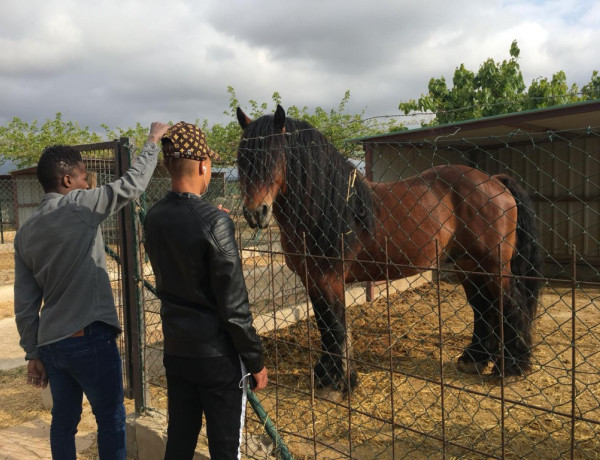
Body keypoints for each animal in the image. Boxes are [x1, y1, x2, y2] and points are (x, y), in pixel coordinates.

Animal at [237, 105, 540, 392]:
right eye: (242, 160)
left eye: (273, 157)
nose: (256, 213)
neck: (330, 207)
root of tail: (494, 181)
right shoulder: (311, 279)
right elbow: (325, 324)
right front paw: (327, 375)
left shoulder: (329, 278)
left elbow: (335, 324)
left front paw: (337, 382)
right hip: (469, 266)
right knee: (483, 307)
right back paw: (474, 359)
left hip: (493, 266)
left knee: (510, 304)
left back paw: (513, 367)